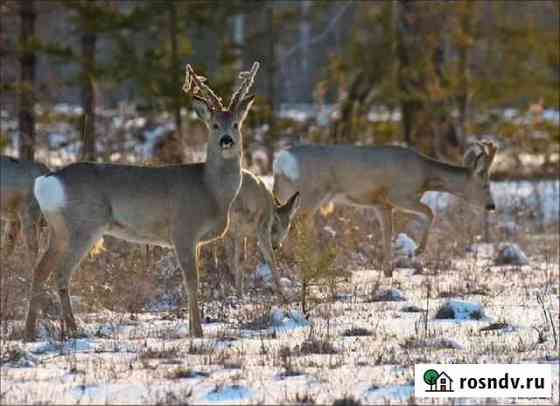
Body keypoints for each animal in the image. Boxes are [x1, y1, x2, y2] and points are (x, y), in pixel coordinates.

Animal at [25, 61, 262, 340]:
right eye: (214, 125)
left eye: (236, 124)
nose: (226, 140)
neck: (210, 190)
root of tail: (46, 181)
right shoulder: (183, 230)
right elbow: (192, 281)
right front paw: (197, 332)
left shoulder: (194, 240)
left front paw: (192, 328)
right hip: (84, 225)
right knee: (61, 274)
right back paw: (74, 330)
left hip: (59, 229)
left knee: (39, 269)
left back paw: (29, 332)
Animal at [274, 141, 496, 278]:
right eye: (485, 184)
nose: (491, 206)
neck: (424, 175)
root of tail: (281, 160)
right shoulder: (399, 195)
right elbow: (430, 212)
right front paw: (417, 251)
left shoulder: (381, 205)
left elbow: (387, 234)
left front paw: (388, 271)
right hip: (310, 195)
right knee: (293, 226)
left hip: (285, 192)